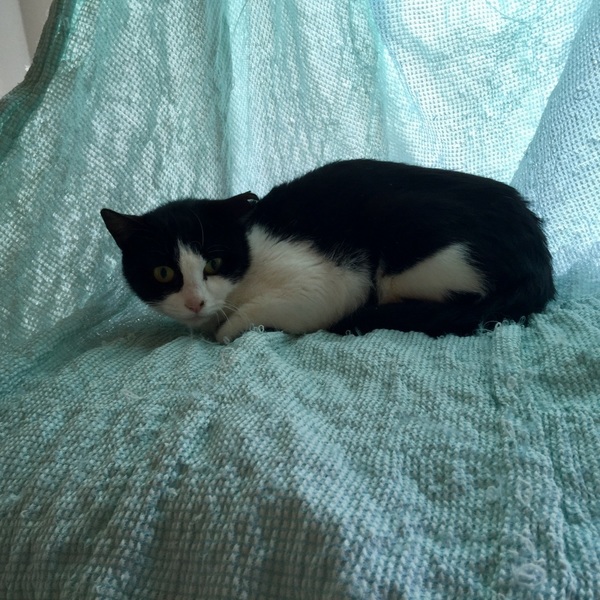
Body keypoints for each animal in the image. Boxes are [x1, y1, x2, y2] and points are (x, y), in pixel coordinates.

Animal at [101, 159, 555, 343]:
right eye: (163, 272)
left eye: (214, 262)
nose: (195, 302)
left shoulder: (331, 283)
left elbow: (233, 328)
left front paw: (228, 329)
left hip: (408, 231)